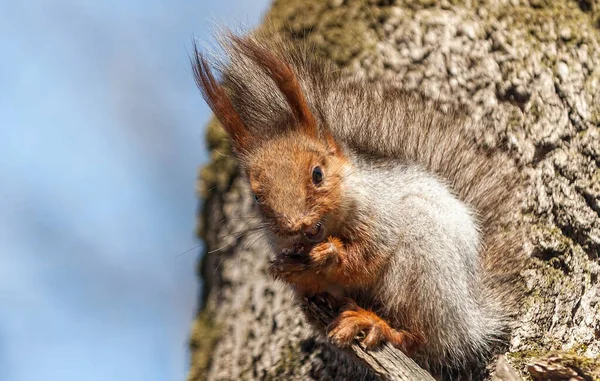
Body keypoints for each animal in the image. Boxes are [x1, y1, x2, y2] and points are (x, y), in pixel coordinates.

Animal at [193, 32, 524, 374]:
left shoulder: (383, 221)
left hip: (425, 271)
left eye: (317, 173)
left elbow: (364, 262)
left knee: (422, 338)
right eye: (257, 196)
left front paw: (329, 255)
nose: (297, 224)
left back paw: (374, 324)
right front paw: (285, 268)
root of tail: (472, 320)